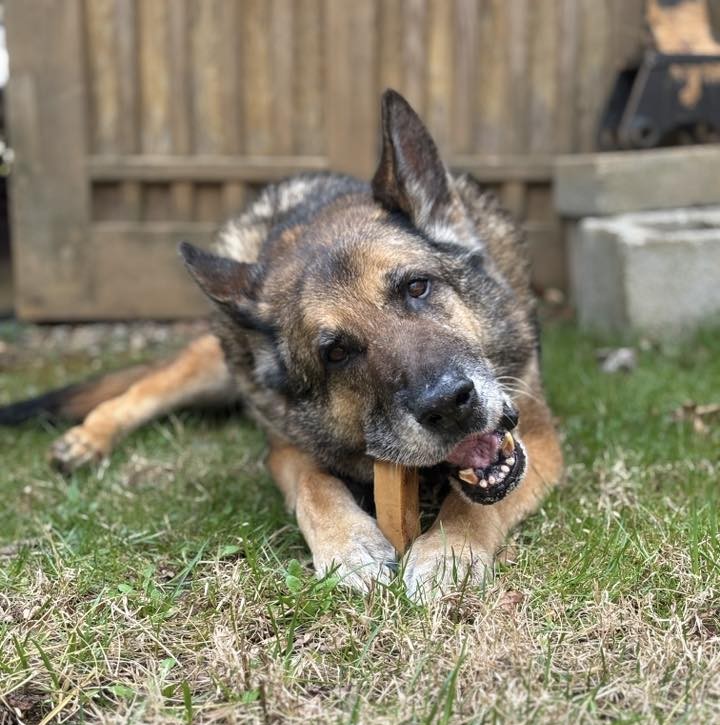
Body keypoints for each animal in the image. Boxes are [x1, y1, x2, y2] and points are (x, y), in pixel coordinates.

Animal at [0, 91, 562, 599]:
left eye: (417, 287)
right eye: (336, 352)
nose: (449, 405)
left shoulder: (537, 438)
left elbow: (474, 499)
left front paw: (449, 550)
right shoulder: (285, 448)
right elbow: (315, 486)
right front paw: (348, 546)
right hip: (215, 366)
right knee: (142, 391)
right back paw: (88, 437)